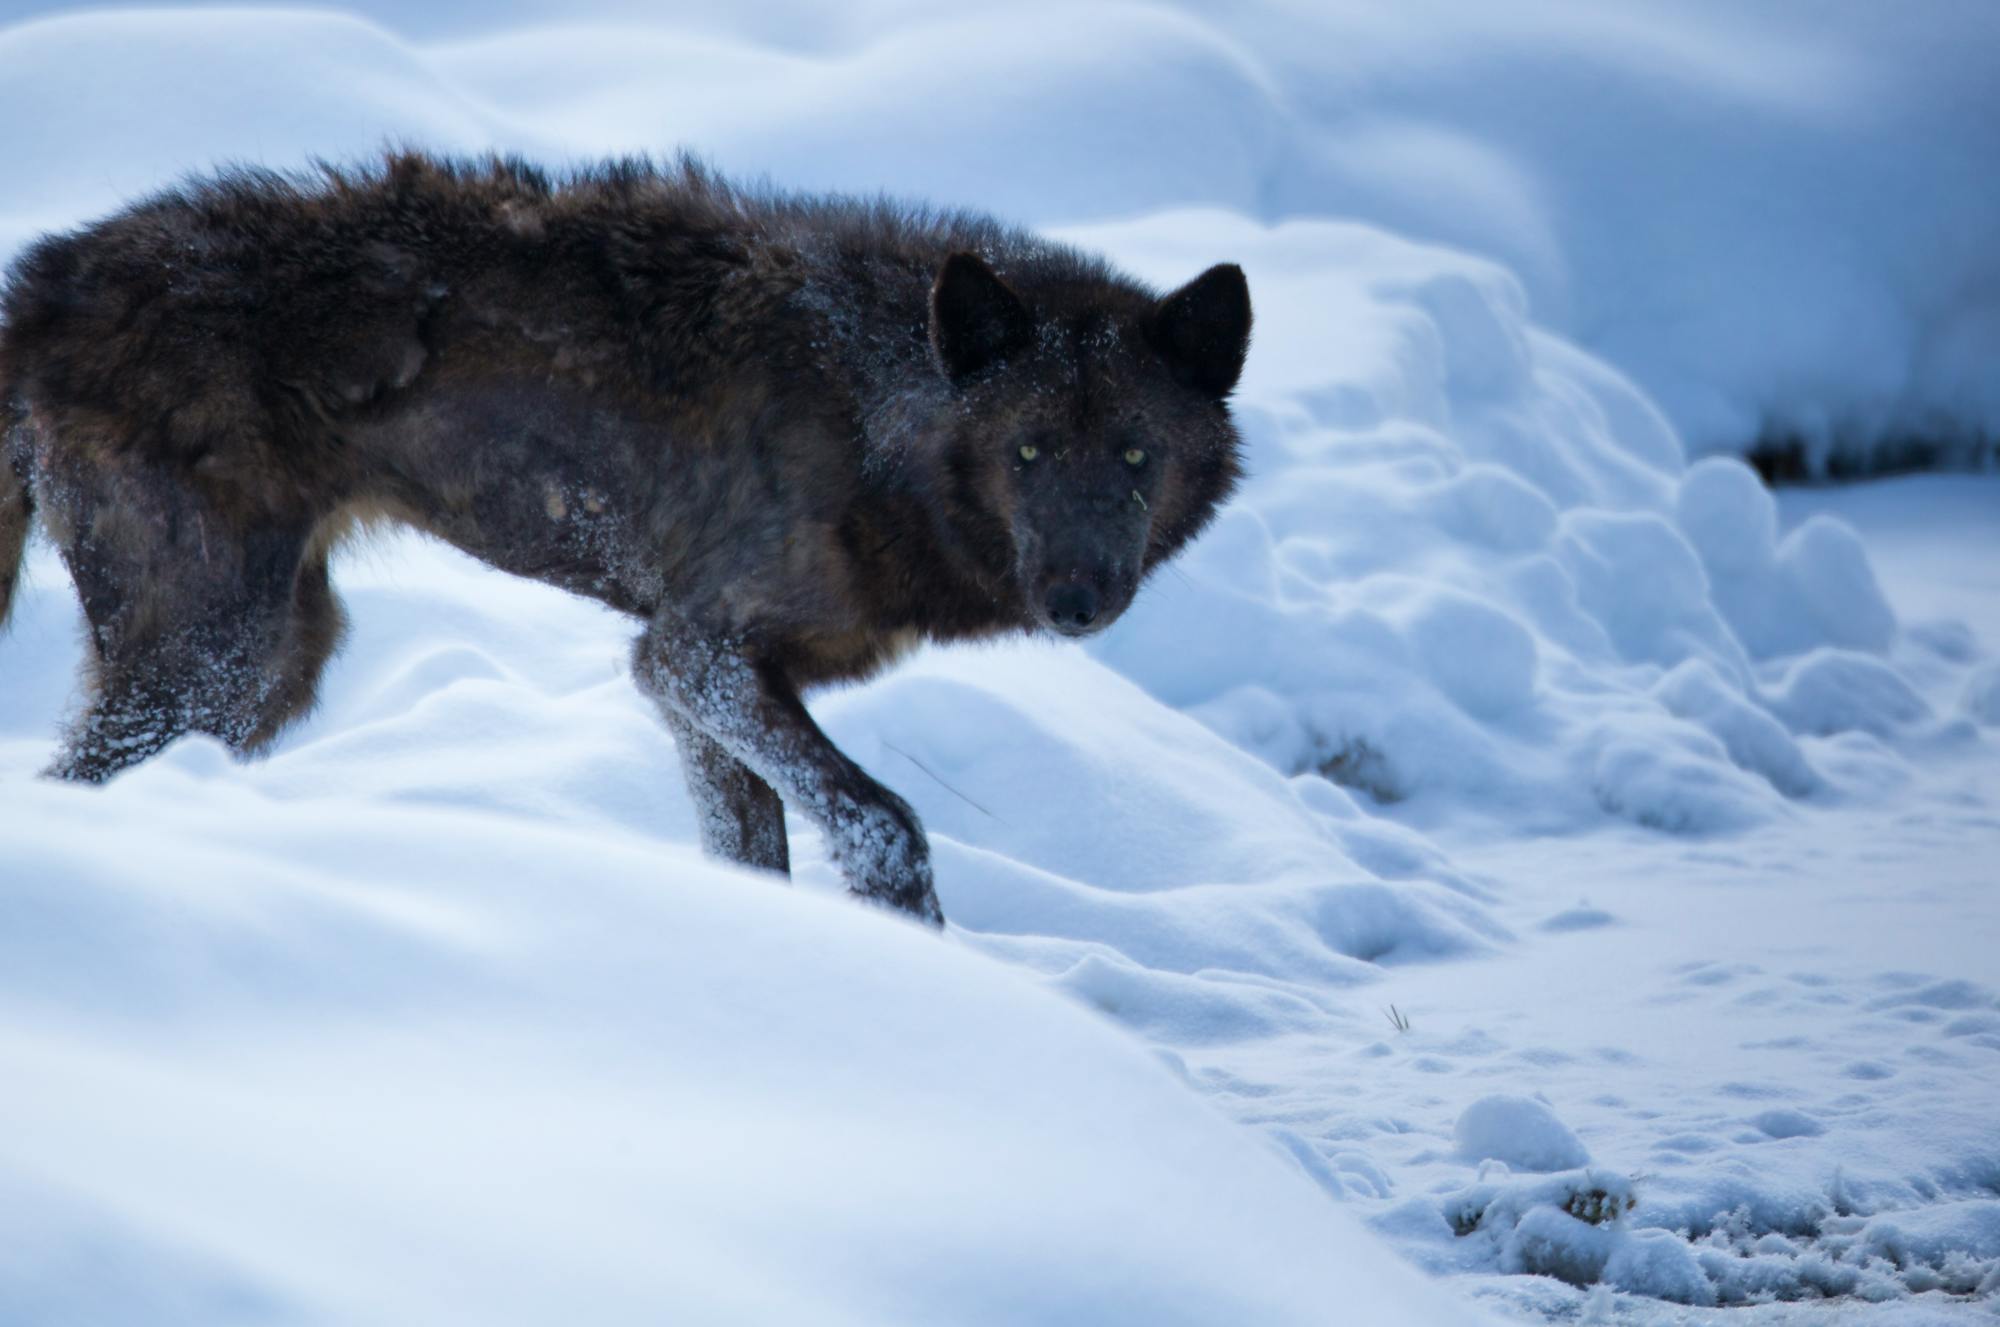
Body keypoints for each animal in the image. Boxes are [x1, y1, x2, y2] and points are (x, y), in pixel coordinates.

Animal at [0, 152, 1248, 923]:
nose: (1078, 596)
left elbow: (752, 856)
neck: (874, 419)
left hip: (276, 668)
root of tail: (38, 286)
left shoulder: (694, 690)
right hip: (218, 663)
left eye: (1135, 455)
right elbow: (885, 826)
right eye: (1025, 452)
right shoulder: (695, 656)